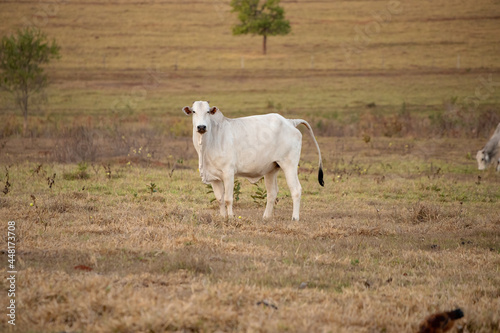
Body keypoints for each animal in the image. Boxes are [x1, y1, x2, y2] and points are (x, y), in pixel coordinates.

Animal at [184, 101, 324, 220]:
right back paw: (266, 217)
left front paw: (231, 217)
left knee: (296, 190)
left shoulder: (228, 173)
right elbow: (220, 199)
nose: (201, 127)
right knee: (272, 193)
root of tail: (290, 122)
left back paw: (294, 218)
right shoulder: (214, 177)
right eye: (194, 111)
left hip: (289, 165)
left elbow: (228, 198)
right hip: (271, 170)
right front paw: (223, 217)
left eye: (208, 111)